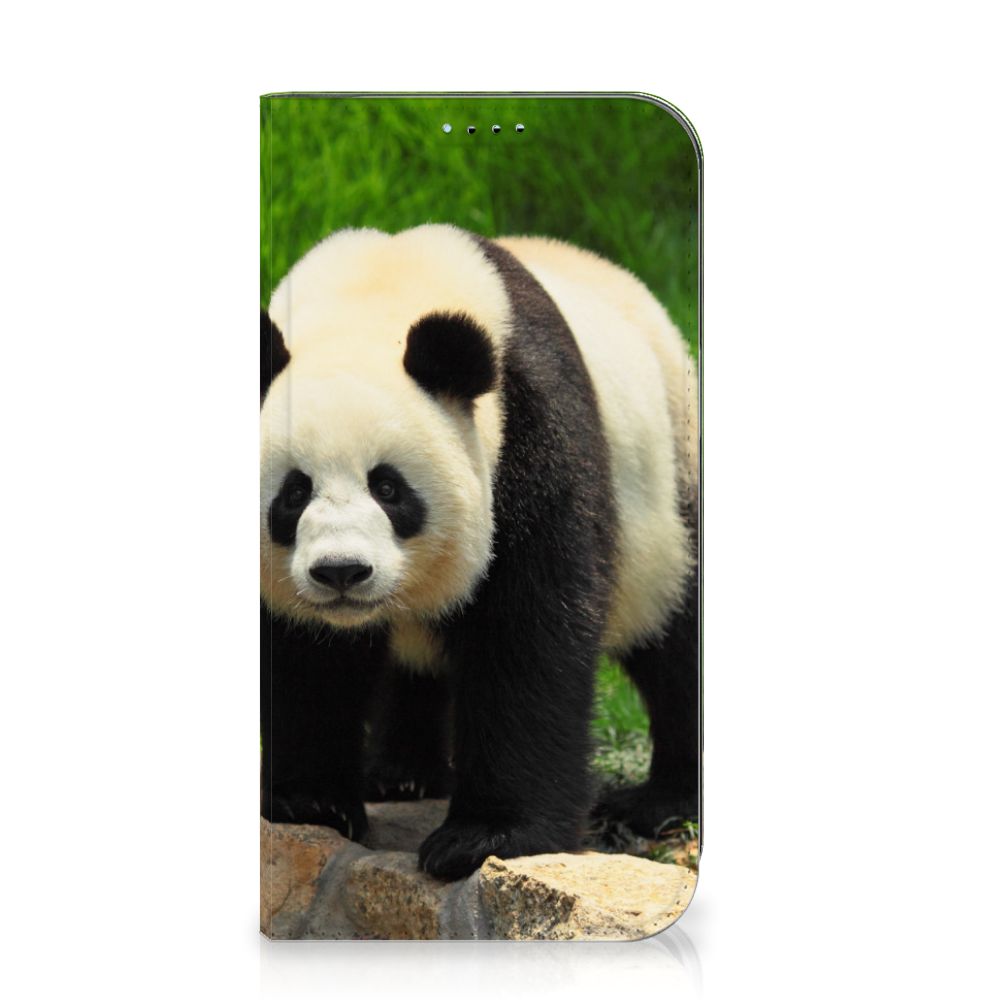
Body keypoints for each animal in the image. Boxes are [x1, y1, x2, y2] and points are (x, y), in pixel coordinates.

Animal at [260, 224, 699, 880]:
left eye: (388, 488)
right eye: (293, 493)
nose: (342, 572)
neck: (373, 297)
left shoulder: (530, 430)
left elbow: (527, 632)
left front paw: (486, 837)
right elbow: (305, 656)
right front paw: (308, 801)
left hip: (668, 479)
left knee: (676, 633)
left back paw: (662, 801)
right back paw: (402, 774)